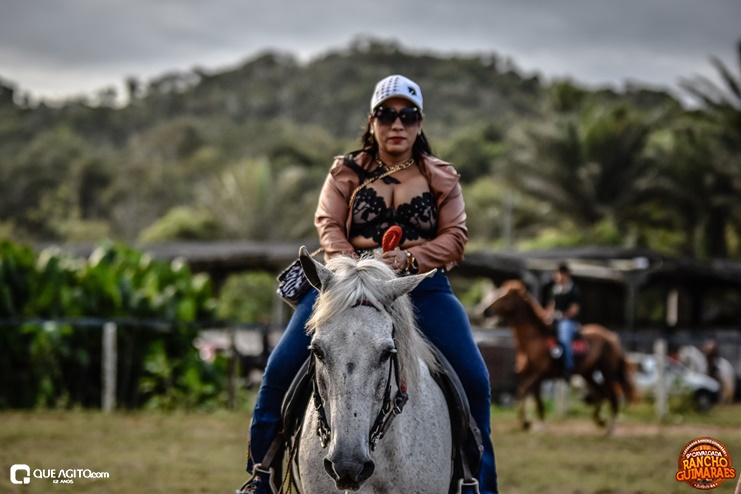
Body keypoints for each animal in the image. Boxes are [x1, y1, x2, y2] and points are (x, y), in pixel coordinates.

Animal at [487, 280, 636, 434]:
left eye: (506, 297)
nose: (487, 311)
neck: (534, 339)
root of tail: (612, 338)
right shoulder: (533, 377)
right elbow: (536, 400)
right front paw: (537, 424)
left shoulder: (540, 374)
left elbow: (521, 392)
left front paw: (526, 423)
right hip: (587, 373)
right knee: (601, 393)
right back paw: (600, 421)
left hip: (607, 372)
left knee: (611, 395)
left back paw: (610, 427)